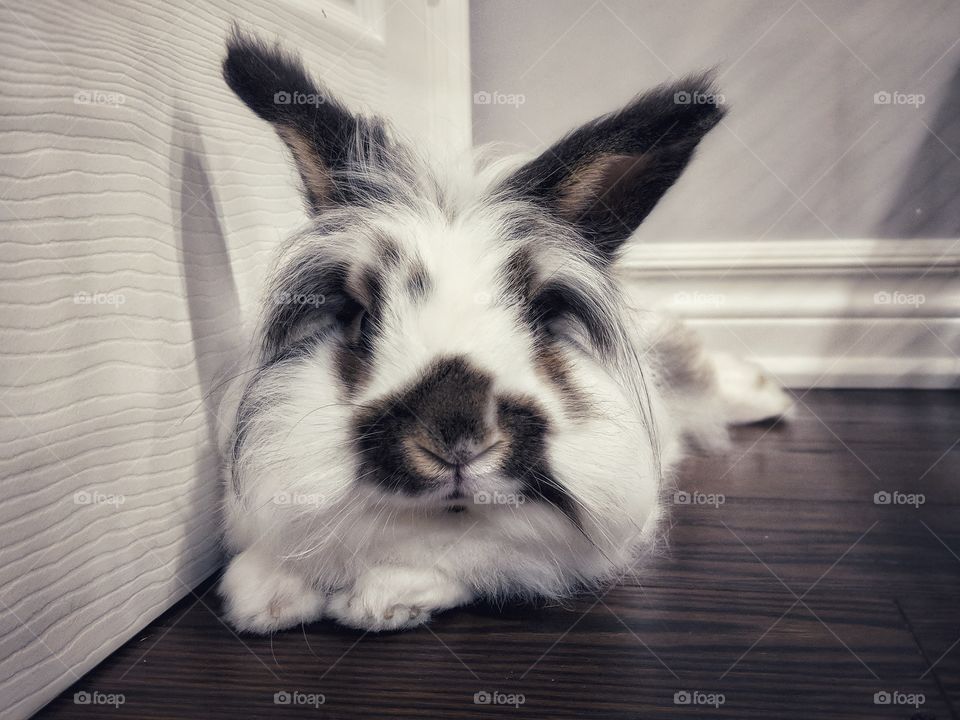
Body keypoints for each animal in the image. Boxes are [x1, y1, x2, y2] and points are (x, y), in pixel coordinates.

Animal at [215, 30, 791, 634]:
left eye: (539, 315)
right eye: (358, 316)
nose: (456, 437)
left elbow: (472, 558)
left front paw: (381, 599)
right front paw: (263, 596)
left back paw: (768, 394)